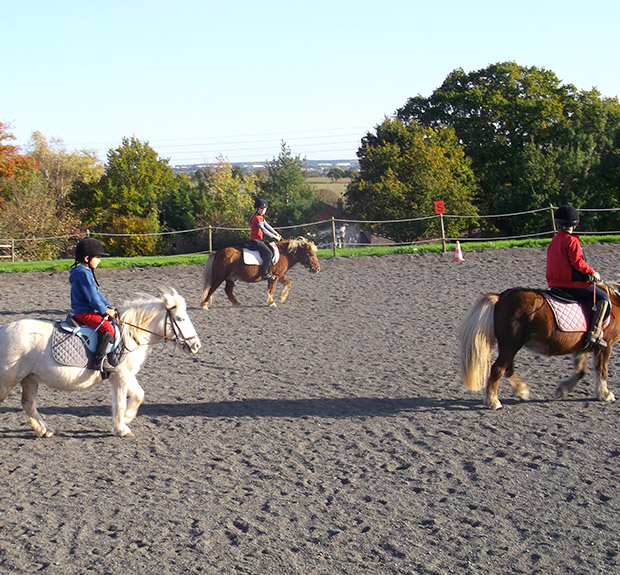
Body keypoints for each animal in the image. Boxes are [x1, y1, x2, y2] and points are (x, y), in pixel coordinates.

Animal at [0, 290, 200, 438]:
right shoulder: (120, 377)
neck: (129, 334)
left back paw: (45, 430)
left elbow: (139, 395)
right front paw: (122, 429)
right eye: (180, 319)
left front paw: (127, 418)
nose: (196, 345)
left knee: (28, 404)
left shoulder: (125, 374)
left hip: (29, 378)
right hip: (8, 380)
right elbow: (120, 402)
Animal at [458, 284, 620, 410]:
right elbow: (602, 370)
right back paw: (493, 401)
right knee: (498, 369)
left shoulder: (582, 348)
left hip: (509, 347)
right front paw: (605, 394)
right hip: (511, 346)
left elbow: (581, 371)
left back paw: (521, 391)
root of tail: (501, 297)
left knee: (507, 368)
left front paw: (562, 389)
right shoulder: (605, 347)